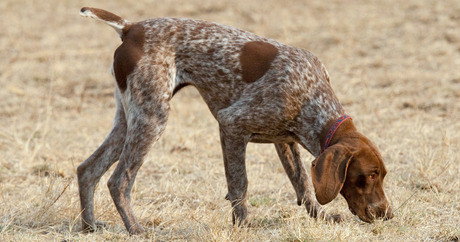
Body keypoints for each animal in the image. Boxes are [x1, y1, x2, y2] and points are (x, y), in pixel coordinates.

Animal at [77, 7, 394, 234]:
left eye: (382, 175)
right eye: (369, 176)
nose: (387, 215)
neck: (313, 96)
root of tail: (131, 28)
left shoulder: (285, 140)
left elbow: (303, 184)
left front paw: (321, 216)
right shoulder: (231, 125)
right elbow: (240, 185)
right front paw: (242, 227)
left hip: (128, 119)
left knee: (87, 169)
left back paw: (89, 226)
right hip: (152, 118)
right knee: (119, 181)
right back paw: (135, 229)